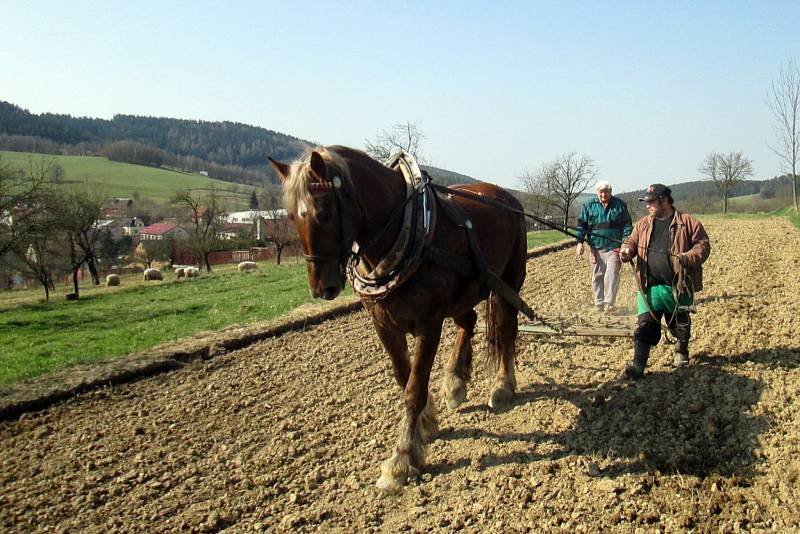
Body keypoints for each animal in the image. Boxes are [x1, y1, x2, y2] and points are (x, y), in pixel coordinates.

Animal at [272, 147, 528, 494]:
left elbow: (414, 388)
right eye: (290, 217)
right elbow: (403, 377)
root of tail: (508, 199)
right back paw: (455, 382)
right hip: (464, 292)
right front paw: (426, 424)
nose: (321, 288)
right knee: (469, 320)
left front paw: (402, 460)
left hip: (508, 283)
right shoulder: (384, 325)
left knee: (506, 329)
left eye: (324, 213)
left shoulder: (429, 325)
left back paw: (502, 386)